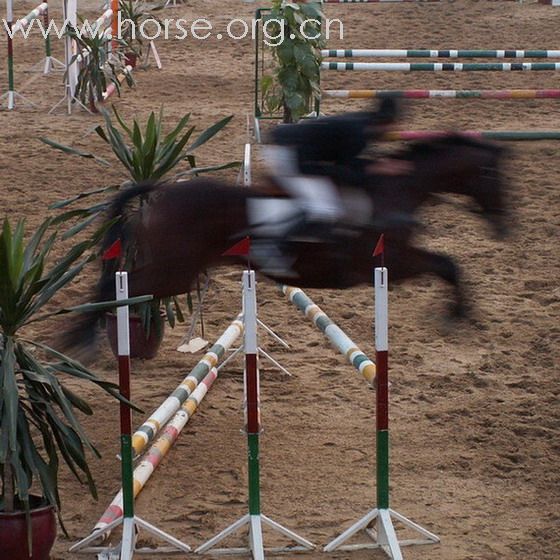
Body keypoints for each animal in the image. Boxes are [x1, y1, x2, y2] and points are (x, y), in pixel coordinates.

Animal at [62, 133, 512, 356]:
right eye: (491, 174)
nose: (506, 227)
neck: (397, 190)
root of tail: (158, 194)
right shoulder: (394, 262)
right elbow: (447, 264)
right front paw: (456, 315)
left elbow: (448, 265)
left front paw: (459, 314)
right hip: (174, 273)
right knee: (122, 289)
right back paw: (83, 338)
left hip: (175, 273)